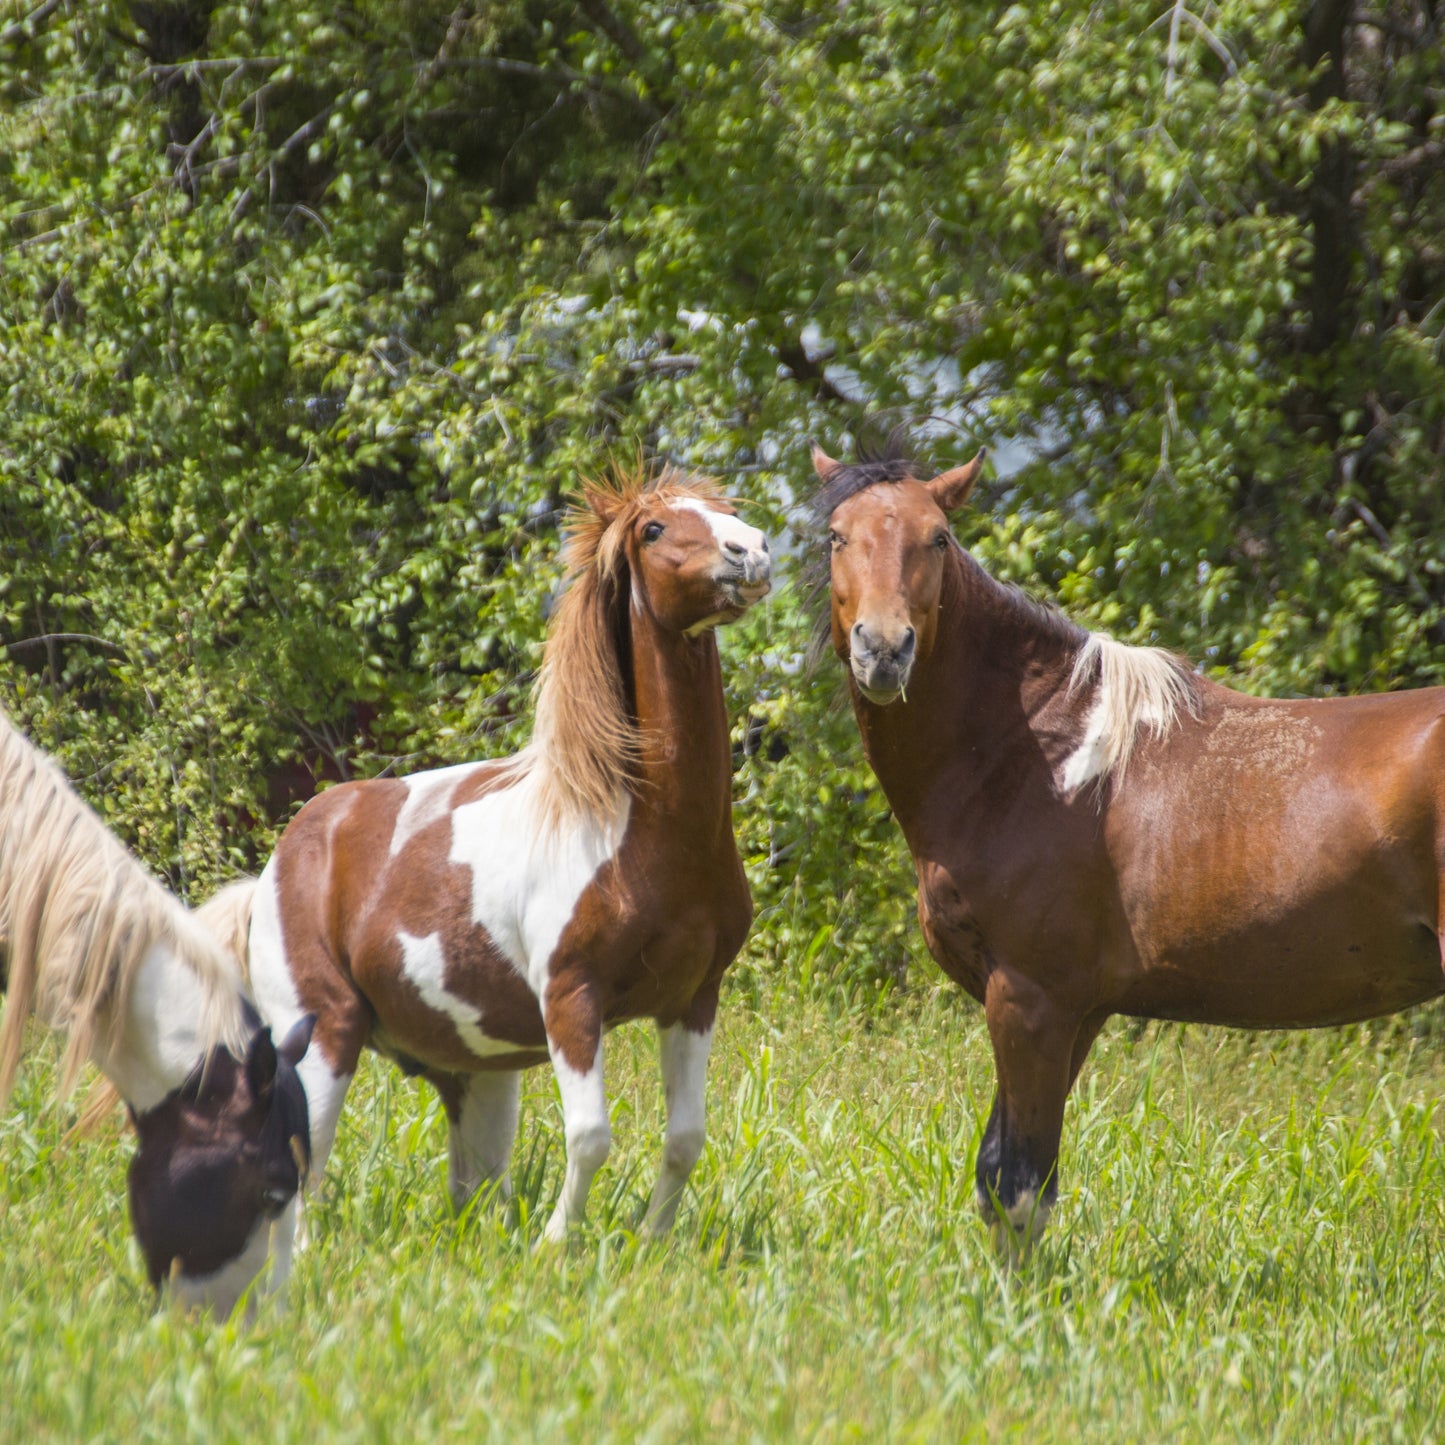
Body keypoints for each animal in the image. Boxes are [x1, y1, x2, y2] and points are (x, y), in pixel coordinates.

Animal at [195, 463, 771, 1302]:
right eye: (655, 529)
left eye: (725, 508)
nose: (751, 550)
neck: (641, 827)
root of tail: (283, 856)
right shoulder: (572, 996)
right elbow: (591, 1135)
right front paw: (556, 1247)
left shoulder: (693, 999)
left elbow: (685, 1138)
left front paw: (651, 1243)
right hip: (323, 1029)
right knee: (302, 1153)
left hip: (475, 1075)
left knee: (470, 1185)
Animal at [812, 440, 1445, 1253]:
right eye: (836, 536)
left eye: (938, 538)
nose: (885, 649)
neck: (1039, 755)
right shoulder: (1075, 1012)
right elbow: (1002, 1177)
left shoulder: (1030, 1000)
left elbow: (1018, 1189)